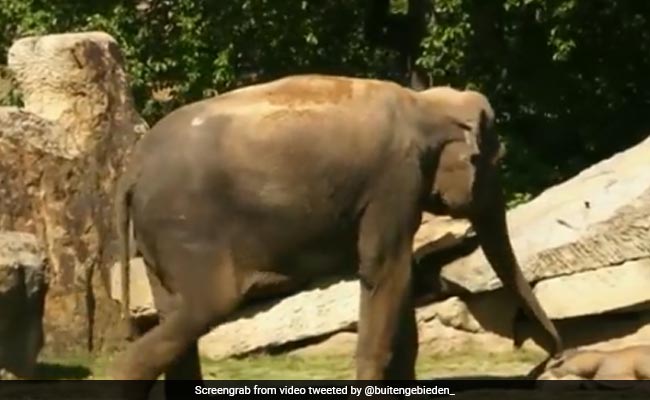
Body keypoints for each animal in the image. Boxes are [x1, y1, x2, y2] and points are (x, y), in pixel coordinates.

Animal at [110, 74, 562, 397]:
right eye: (496, 161)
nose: (554, 356)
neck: (424, 103)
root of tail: (132, 167)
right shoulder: (394, 181)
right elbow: (387, 272)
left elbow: (398, 282)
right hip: (185, 225)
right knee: (209, 304)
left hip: (157, 240)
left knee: (173, 312)